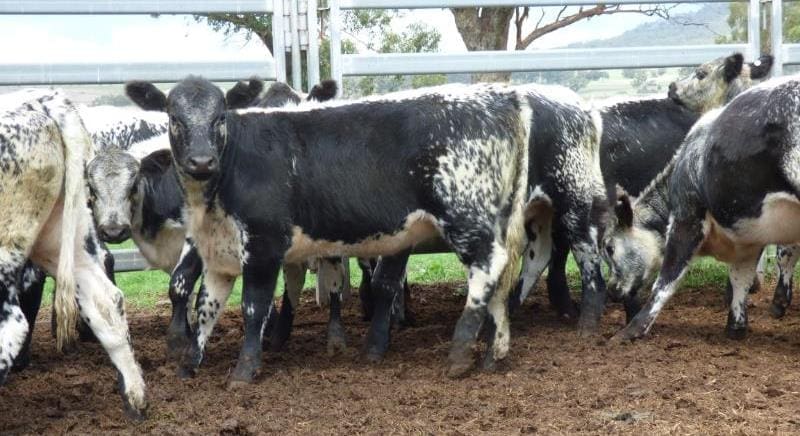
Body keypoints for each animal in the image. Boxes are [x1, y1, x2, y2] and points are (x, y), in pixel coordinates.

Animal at [128, 78, 532, 382]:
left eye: (220, 117)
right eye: (174, 117)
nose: (201, 161)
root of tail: (500, 98)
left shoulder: (263, 245)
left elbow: (253, 307)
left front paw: (244, 370)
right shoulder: (218, 253)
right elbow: (206, 308)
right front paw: (188, 365)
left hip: (466, 216)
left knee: (487, 269)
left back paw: (460, 353)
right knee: (502, 273)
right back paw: (495, 351)